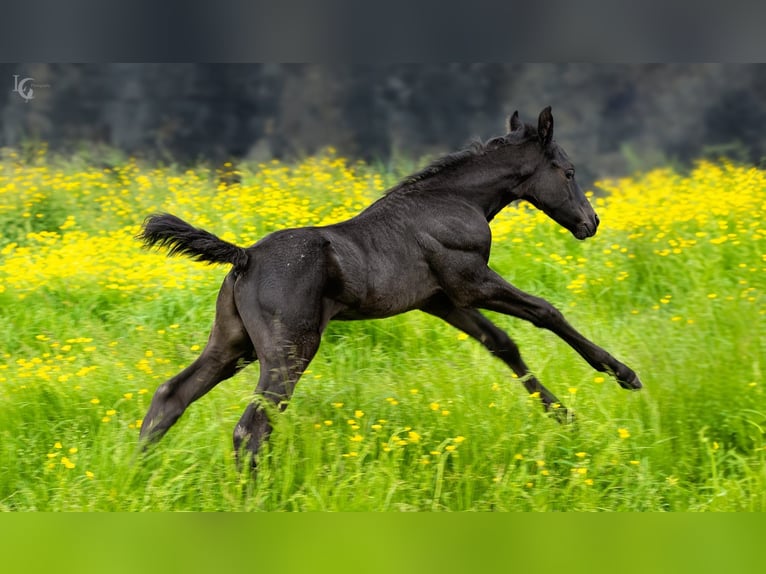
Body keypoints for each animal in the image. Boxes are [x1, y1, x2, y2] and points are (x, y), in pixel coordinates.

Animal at [136, 108, 640, 466]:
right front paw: (623, 374)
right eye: (568, 171)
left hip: (232, 344)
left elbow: (502, 343)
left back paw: (138, 475)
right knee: (250, 430)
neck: (452, 201)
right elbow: (544, 311)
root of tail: (245, 256)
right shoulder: (471, 281)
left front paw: (565, 417)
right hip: (288, 351)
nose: (591, 222)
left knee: (171, 396)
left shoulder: (441, 300)